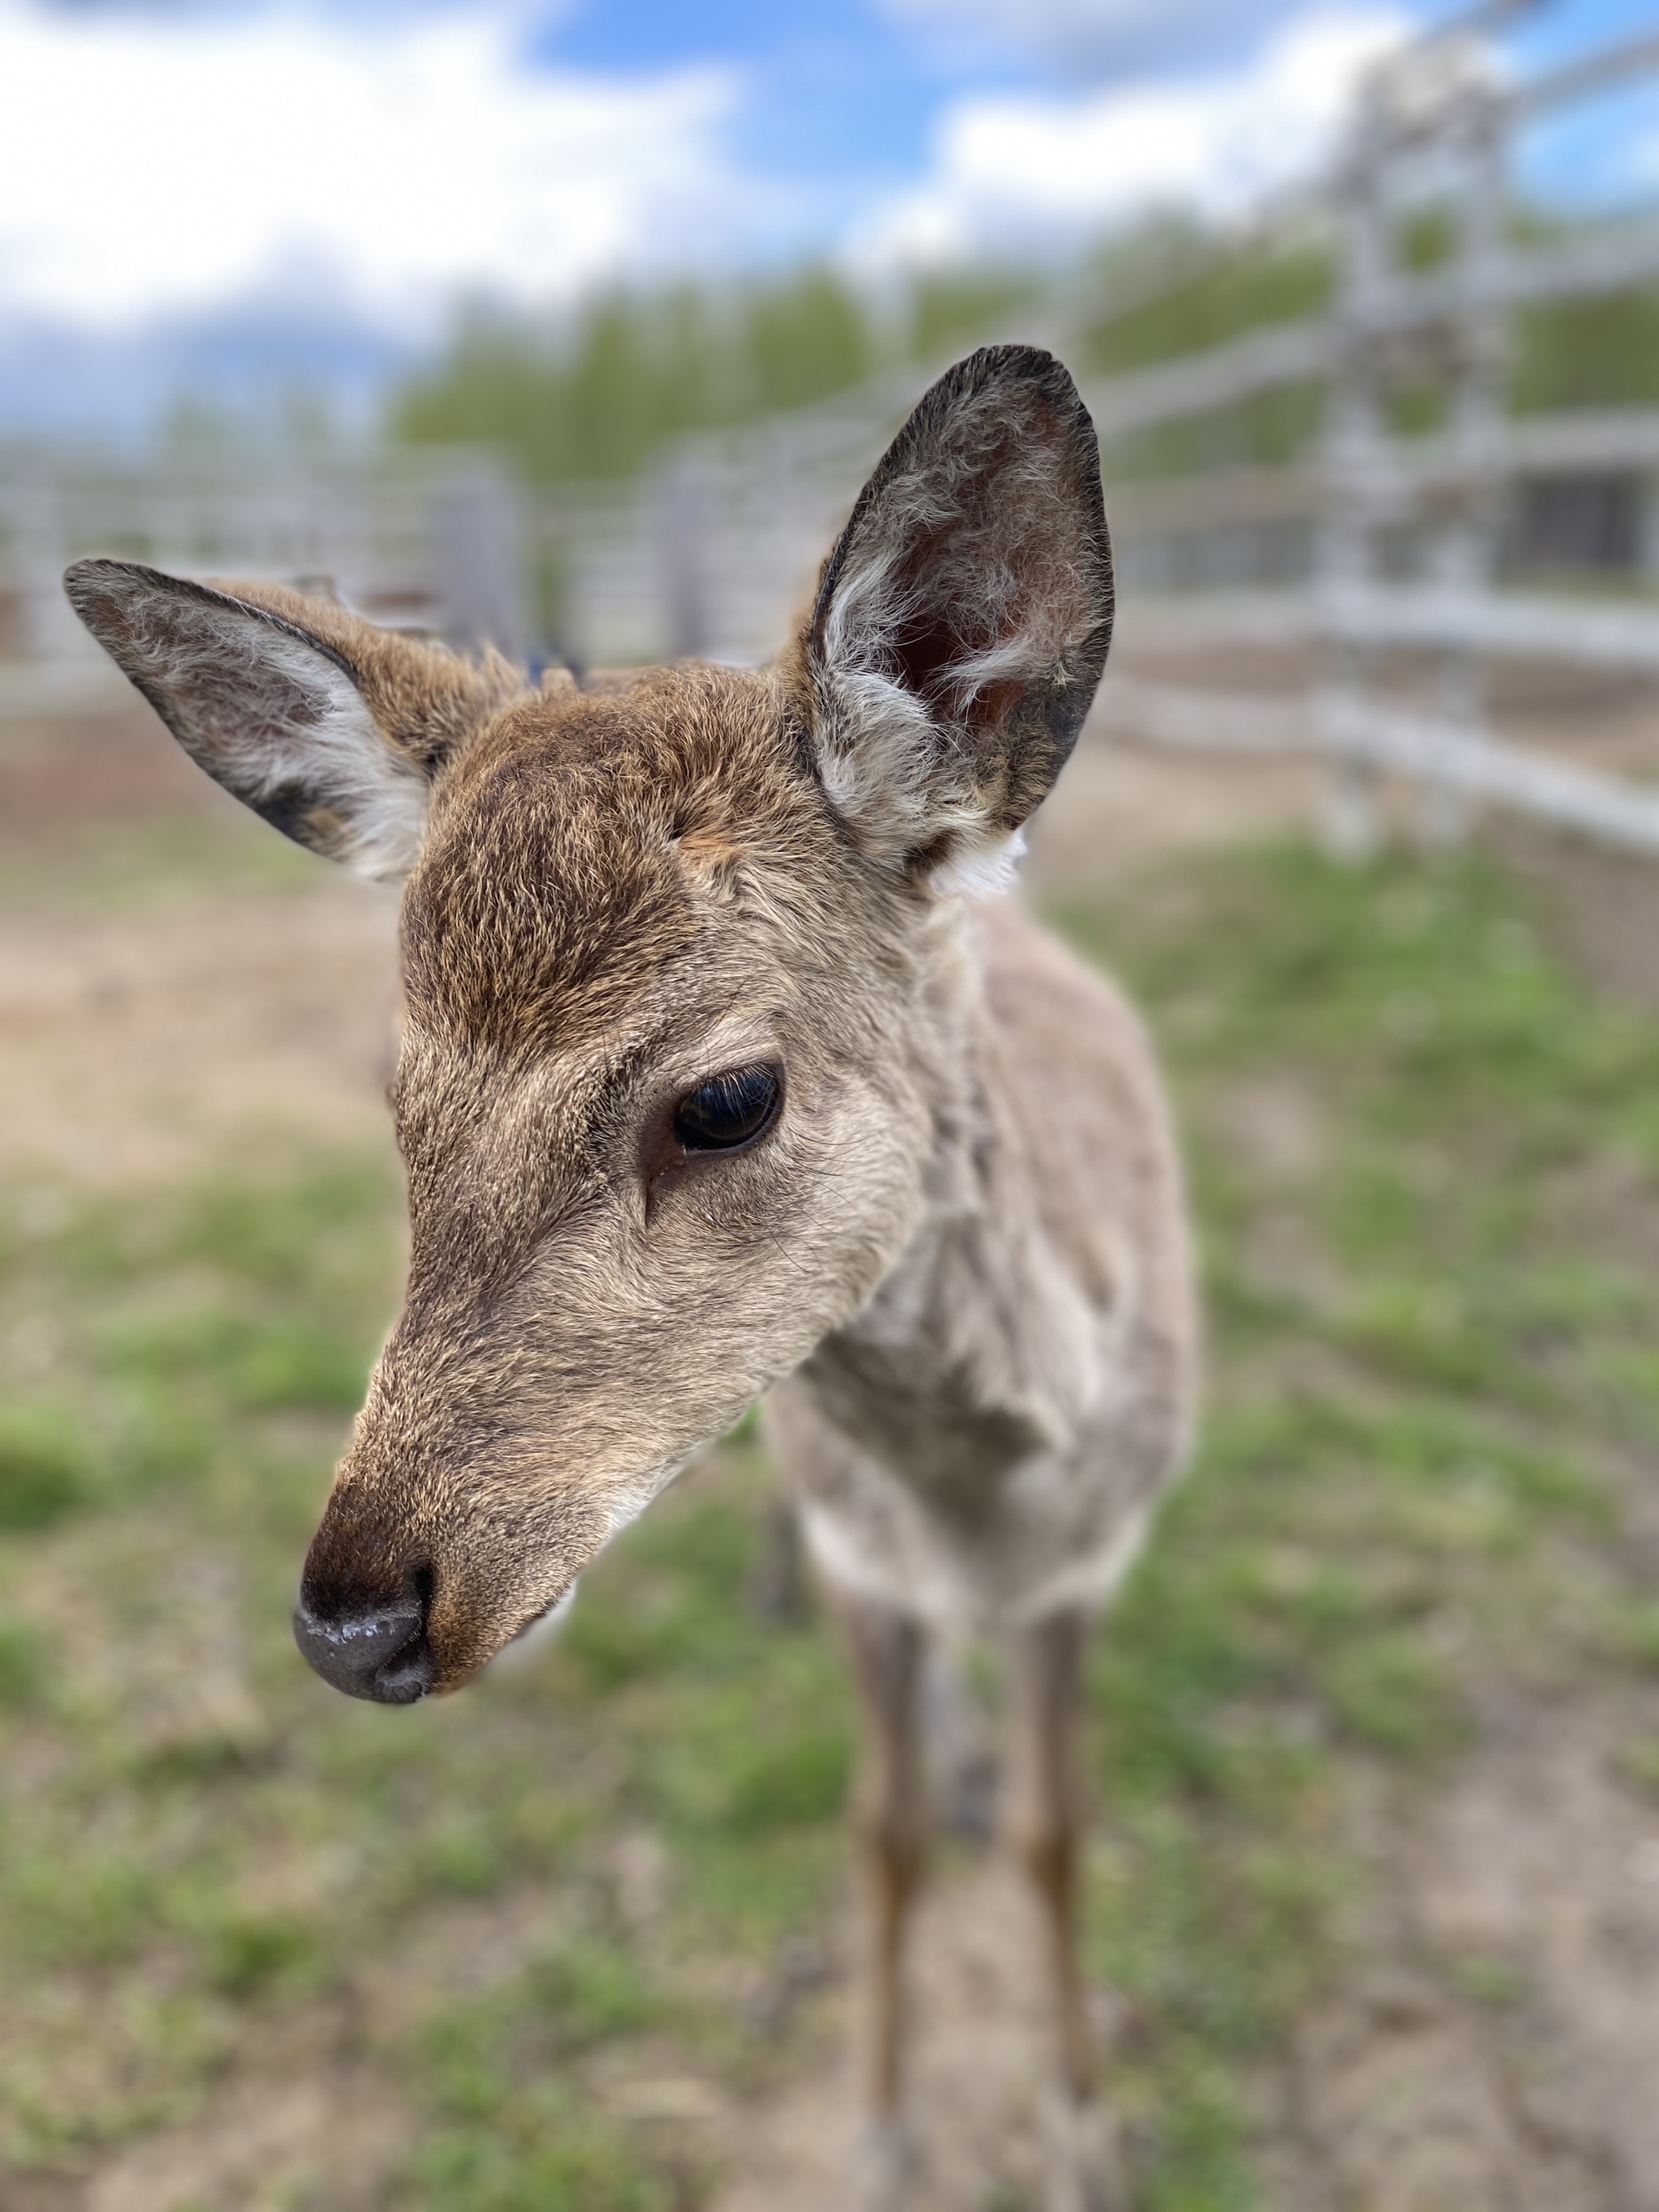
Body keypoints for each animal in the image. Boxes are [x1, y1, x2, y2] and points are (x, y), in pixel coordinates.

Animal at [65, 345, 1203, 2212]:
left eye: (725, 1098)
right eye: (394, 1094)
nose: (354, 1619)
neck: (988, 1487)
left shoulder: (1090, 1560)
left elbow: (1054, 1835)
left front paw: (1081, 2135)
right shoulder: (867, 1555)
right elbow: (879, 1830)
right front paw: (880, 2133)